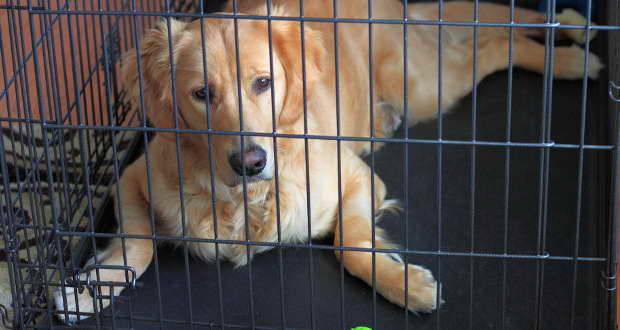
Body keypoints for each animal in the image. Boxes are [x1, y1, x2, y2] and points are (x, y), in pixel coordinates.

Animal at [52, 0, 600, 324]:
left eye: (264, 82)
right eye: (202, 93)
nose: (250, 161)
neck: (245, 199)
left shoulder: (356, 177)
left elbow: (351, 243)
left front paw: (405, 285)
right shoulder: (132, 178)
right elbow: (137, 245)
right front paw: (93, 287)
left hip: (427, 85)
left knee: (495, 39)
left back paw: (572, 55)